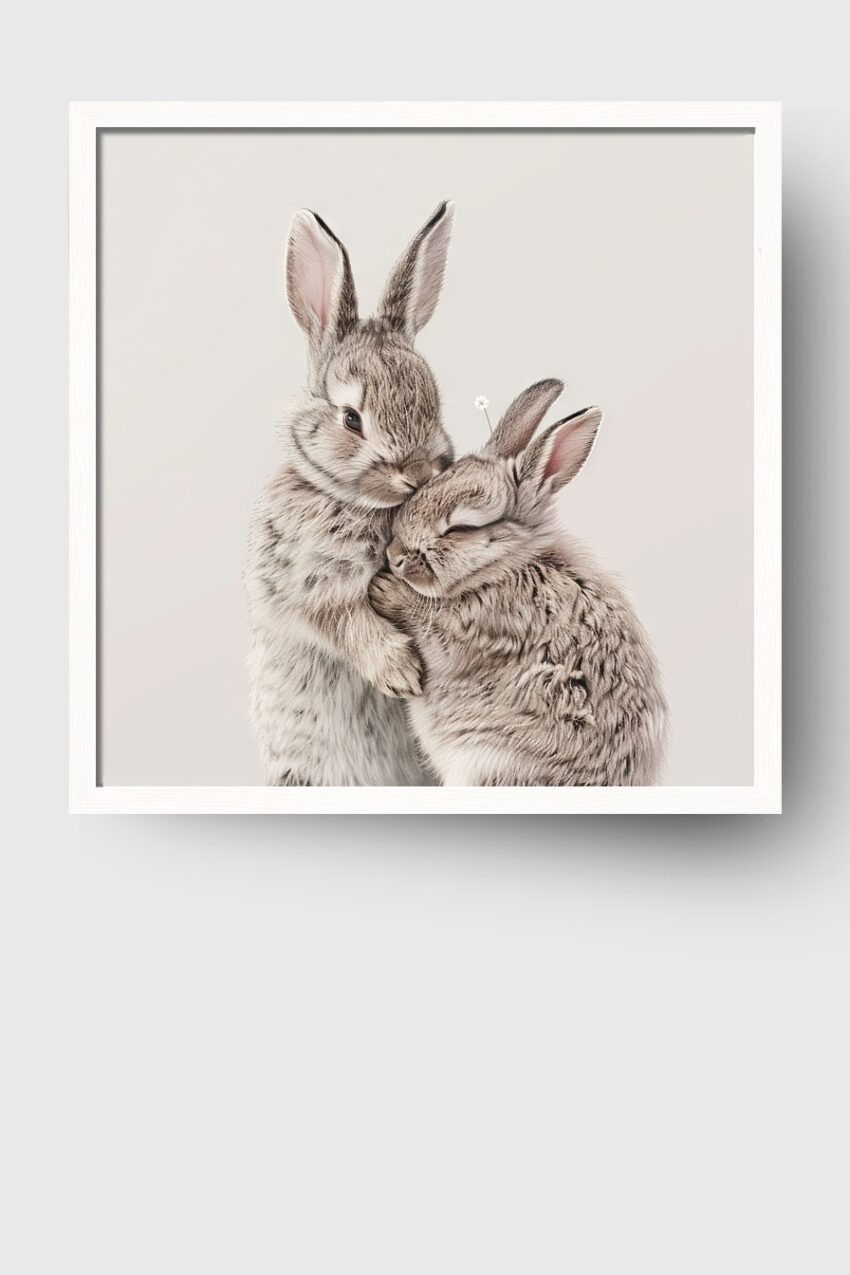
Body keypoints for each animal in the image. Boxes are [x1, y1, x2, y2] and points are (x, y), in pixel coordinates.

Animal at [245, 202, 457, 785]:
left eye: (435, 403)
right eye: (351, 419)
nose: (415, 474)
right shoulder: (308, 585)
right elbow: (345, 621)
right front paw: (402, 673)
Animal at [368, 378, 668, 786]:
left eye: (462, 529)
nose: (395, 557)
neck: (501, 568)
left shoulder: (488, 630)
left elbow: (434, 637)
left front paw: (384, 590)